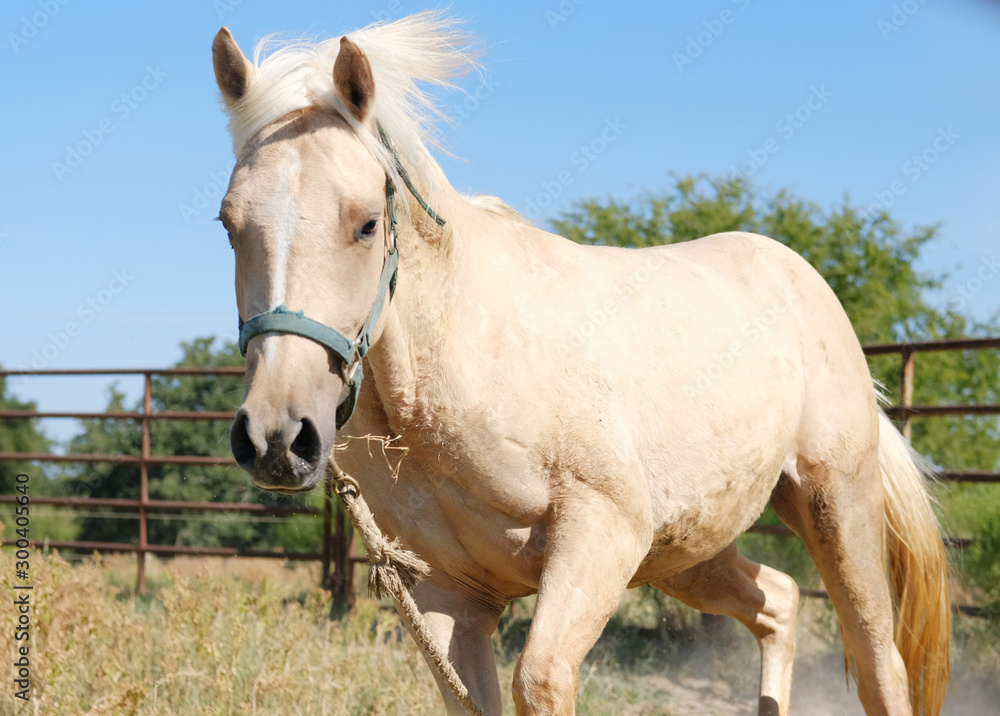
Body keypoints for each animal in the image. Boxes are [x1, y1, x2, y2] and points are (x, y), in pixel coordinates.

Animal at [215, 12, 948, 716]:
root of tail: (801, 276)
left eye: (367, 223)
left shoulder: (599, 535)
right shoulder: (452, 598)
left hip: (835, 505)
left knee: (879, 665)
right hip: (685, 554)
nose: (278, 436)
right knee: (779, 600)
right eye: (229, 224)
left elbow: (540, 681)